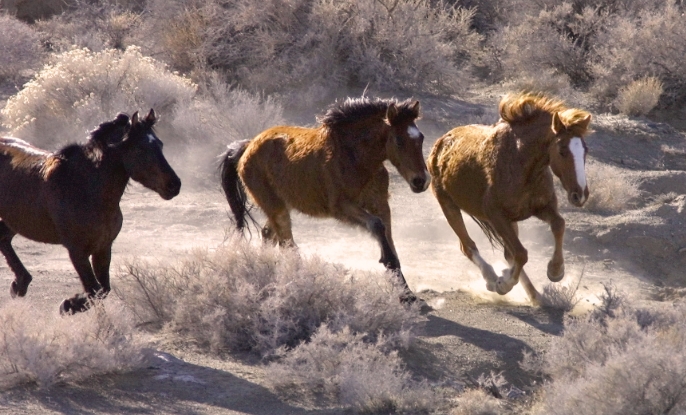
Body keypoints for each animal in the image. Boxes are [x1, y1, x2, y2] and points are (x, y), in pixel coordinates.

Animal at [0, 109, 183, 314]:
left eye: (160, 144)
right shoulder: (77, 251)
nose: (174, 185)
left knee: (3, 238)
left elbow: (103, 289)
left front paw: (70, 303)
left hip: (15, 220)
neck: (85, 189)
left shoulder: (103, 247)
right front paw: (68, 305)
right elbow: (94, 289)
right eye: (140, 149)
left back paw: (20, 284)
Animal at [222, 97, 430, 302]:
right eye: (399, 141)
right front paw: (389, 266)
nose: (421, 181)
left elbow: (389, 238)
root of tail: (248, 146)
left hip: (280, 206)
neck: (353, 156)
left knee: (268, 235)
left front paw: (405, 292)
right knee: (287, 246)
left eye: (421, 138)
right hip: (276, 207)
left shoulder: (380, 204)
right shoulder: (341, 208)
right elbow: (377, 226)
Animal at [428, 92, 592, 304]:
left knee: (508, 253)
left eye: (585, 150)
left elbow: (558, 225)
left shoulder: (542, 208)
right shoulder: (496, 216)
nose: (580, 194)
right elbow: (521, 254)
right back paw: (492, 279)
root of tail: (440, 142)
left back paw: (535, 295)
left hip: (509, 222)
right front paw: (504, 283)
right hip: (448, 204)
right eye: (562, 151)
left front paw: (555, 271)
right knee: (468, 246)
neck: (521, 163)